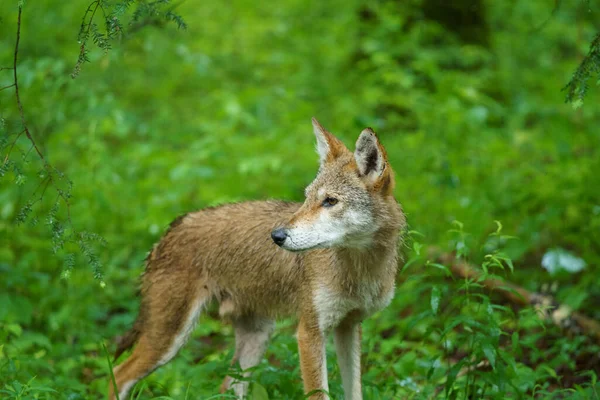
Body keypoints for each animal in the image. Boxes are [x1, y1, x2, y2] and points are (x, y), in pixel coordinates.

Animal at [109, 119, 408, 400]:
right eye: (307, 198)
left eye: (330, 201)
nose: (277, 235)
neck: (359, 270)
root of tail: (169, 230)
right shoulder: (309, 333)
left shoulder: (349, 327)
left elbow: (354, 392)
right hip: (169, 339)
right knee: (117, 375)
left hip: (256, 337)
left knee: (227, 386)